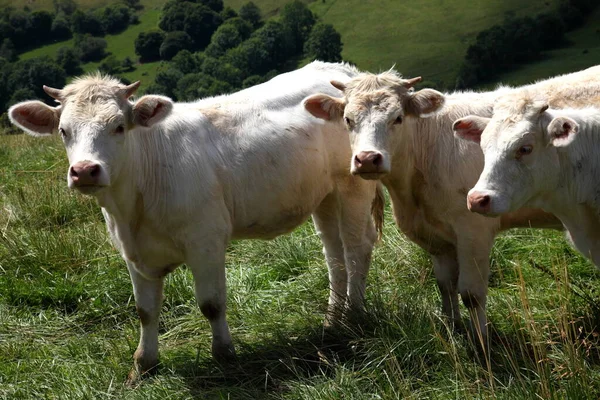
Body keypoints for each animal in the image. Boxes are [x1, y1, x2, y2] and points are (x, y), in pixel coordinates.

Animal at [7, 61, 382, 382]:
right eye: (63, 131)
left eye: (119, 127)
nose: (85, 170)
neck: (133, 207)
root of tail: (343, 72)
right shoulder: (133, 252)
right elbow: (145, 310)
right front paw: (144, 364)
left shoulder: (206, 240)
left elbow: (211, 304)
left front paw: (225, 356)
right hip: (324, 196)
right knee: (334, 255)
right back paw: (332, 321)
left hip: (353, 186)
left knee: (355, 249)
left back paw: (354, 318)